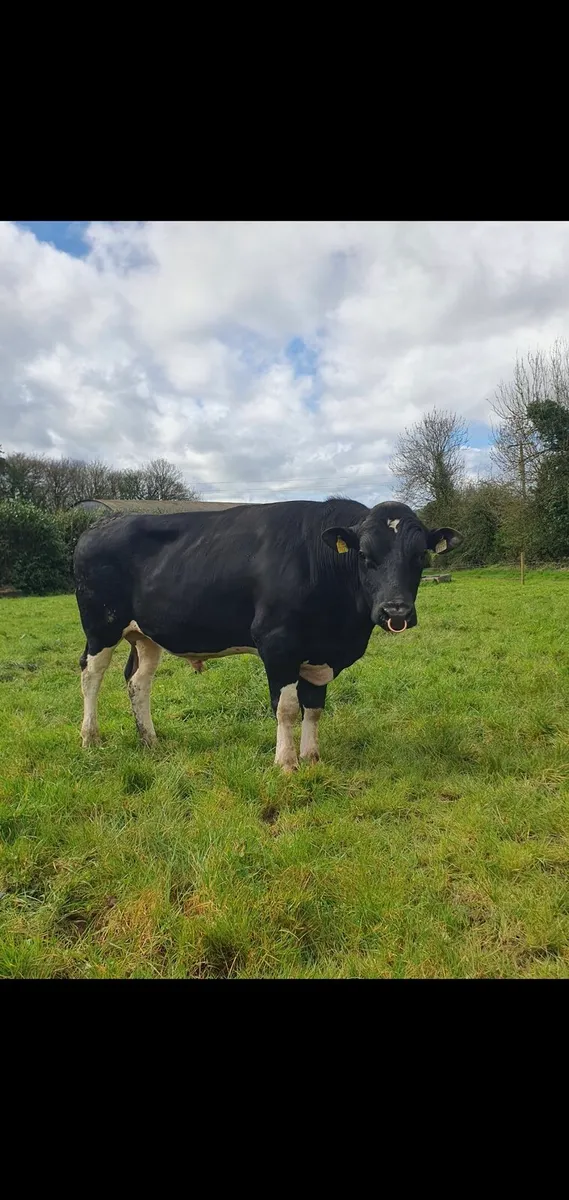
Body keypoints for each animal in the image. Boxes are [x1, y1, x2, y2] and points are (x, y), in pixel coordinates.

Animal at [73, 499, 461, 771]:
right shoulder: (277, 644)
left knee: (138, 682)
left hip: (147, 635)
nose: (396, 611)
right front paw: (286, 763)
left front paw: (311, 757)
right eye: (364, 555)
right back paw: (90, 738)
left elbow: (314, 708)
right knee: (91, 674)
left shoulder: (319, 655)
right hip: (101, 626)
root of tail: (99, 525)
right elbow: (287, 708)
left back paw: (149, 740)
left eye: (420, 555)